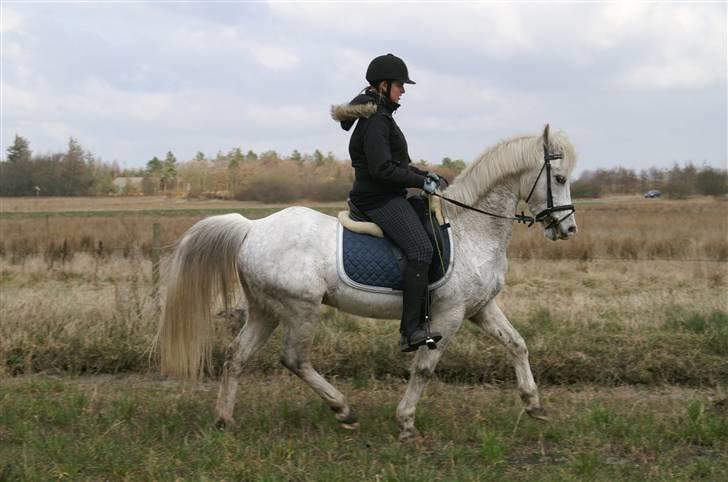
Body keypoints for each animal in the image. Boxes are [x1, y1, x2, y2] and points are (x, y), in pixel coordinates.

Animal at [156, 124, 576, 440]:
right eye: (559, 177)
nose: (568, 229)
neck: (471, 228)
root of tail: (251, 228)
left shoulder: (481, 308)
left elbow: (518, 344)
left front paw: (534, 404)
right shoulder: (450, 314)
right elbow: (424, 368)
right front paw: (406, 423)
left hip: (265, 311)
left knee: (237, 356)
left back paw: (225, 419)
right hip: (300, 308)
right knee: (294, 359)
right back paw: (343, 409)